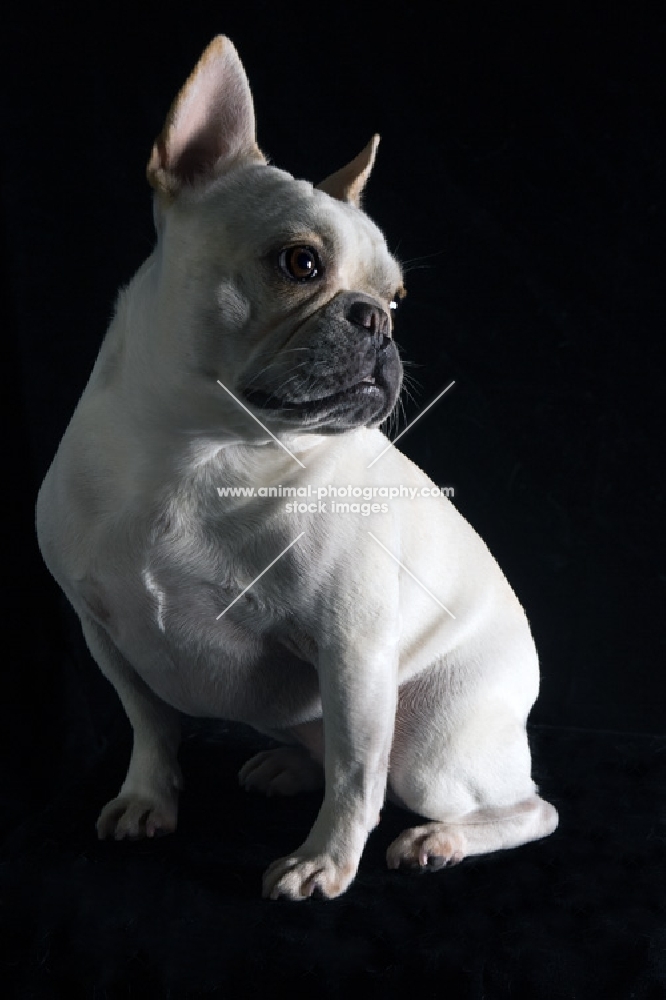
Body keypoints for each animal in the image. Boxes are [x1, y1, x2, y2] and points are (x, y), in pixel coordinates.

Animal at [35, 37, 556, 900]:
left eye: (398, 298)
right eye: (301, 263)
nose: (377, 321)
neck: (200, 449)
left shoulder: (353, 651)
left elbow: (356, 773)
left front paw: (324, 862)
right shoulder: (103, 631)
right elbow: (150, 724)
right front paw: (148, 798)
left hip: (433, 746)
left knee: (515, 805)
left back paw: (441, 839)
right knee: (326, 755)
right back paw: (286, 766)